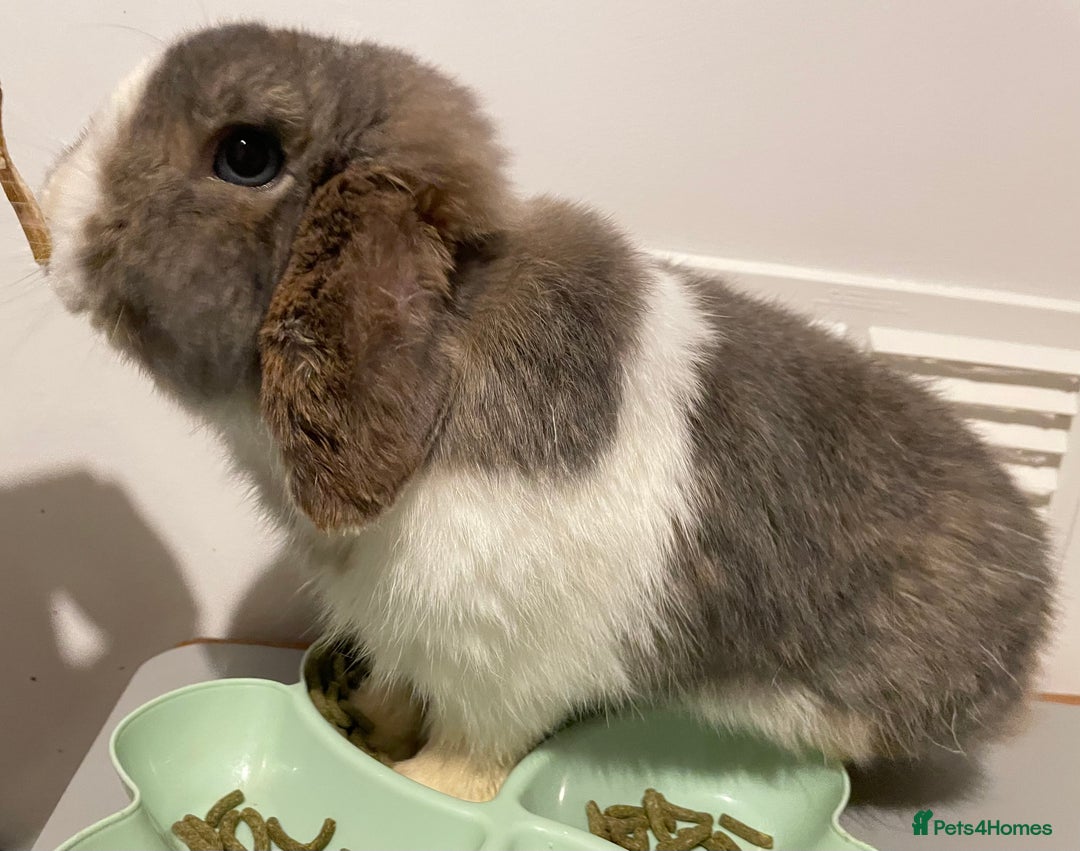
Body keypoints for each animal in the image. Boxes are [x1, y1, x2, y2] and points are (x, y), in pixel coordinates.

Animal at [40, 23, 1055, 802]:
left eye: (246, 154)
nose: (50, 207)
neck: (450, 335)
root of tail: (1032, 611)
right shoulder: (407, 630)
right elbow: (407, 689)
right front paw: (371, 721)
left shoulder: (503, 665)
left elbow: (476, 749)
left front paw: (421, 786)